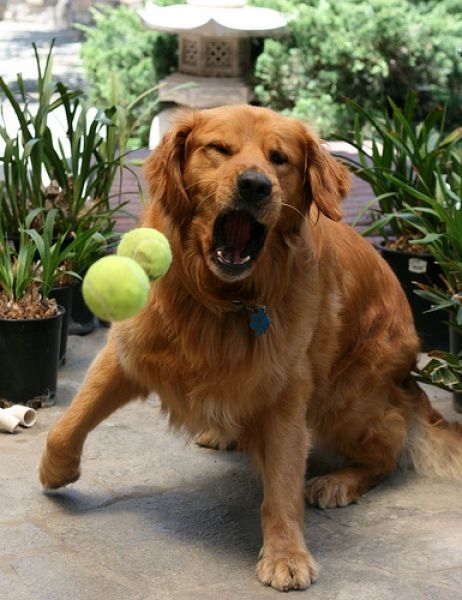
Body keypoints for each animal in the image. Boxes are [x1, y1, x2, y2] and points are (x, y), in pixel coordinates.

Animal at [38, 105, 462, 592]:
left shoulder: (286, 393)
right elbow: (69, 422)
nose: (255, 184)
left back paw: (339, 481)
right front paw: (55, 470)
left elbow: (282, 484)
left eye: (279, 159)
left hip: (345, 401)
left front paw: (286, 553)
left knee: (388, 450)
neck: (220, 301)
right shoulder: (126, 351)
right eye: (219, 149)